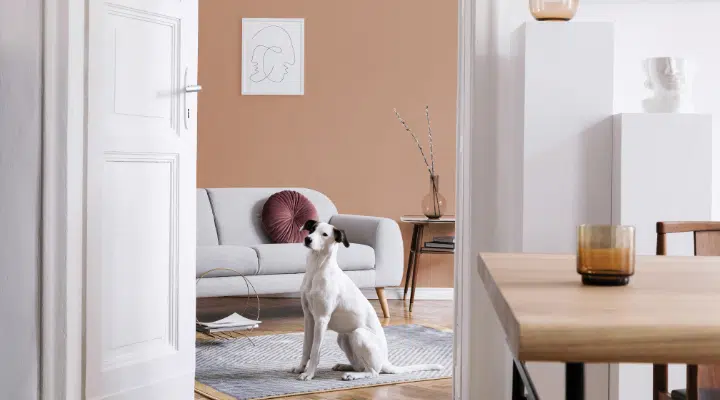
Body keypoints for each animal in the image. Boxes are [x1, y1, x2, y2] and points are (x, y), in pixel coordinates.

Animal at [290, 220, 442, 382]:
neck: (317, 269)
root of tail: (385, 361)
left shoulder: (321, 319)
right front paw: (300, 368)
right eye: (312, 229)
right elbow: (306, 348)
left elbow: (315, 351)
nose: (308, 239)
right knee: (361, 366)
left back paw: (352, 375)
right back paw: (345, 367)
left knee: (373, 372)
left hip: (358, 334)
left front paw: (309, 374)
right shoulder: (309, 317)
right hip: (344, 337)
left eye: (324, 234)